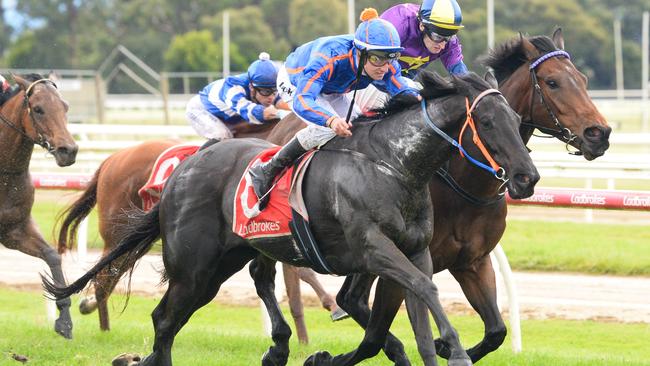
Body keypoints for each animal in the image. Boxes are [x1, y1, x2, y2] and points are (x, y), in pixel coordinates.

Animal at [0, 73, 78, 338]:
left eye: (65, 106)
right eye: (38, 109)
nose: (68, 150)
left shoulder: (15, 230)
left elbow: (52, 255)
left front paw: (64, 321)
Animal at [41, 70, 536, 364]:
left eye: (516, 119)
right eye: (486, 122)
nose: (527, 177)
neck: (395, 165)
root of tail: (183, 169)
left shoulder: (415, 250)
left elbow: (418, 302)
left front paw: (441, 346)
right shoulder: (373, 249)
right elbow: (422, 291)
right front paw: (455, 348)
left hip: (228, 260)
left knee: (194, 306)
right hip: (194, 268)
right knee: (165, 319)